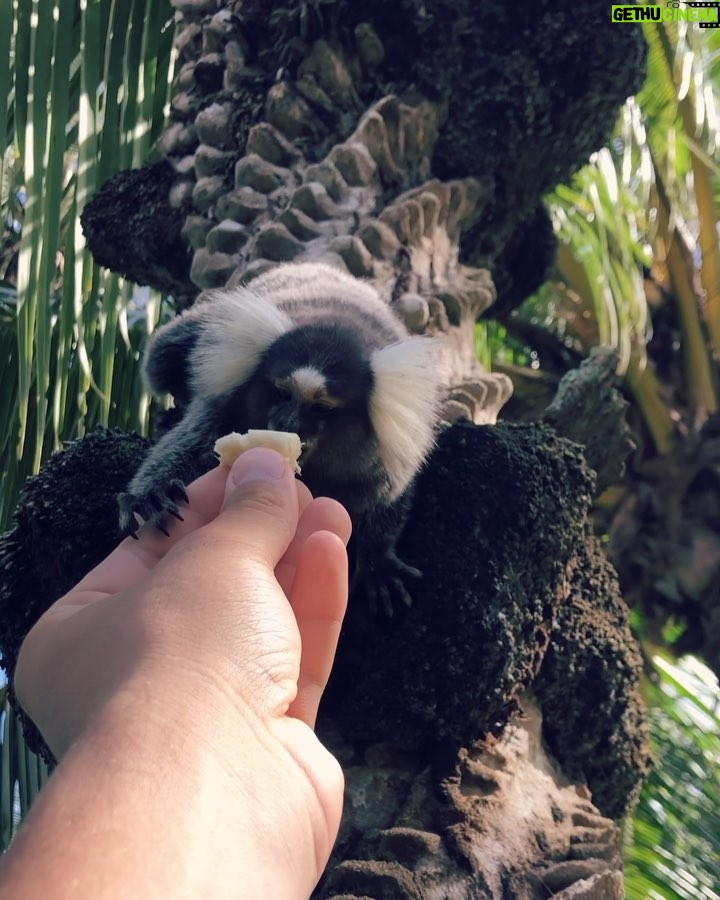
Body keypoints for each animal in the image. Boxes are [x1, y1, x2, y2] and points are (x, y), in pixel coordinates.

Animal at [118, 262, 441, 612]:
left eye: (322, 407)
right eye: (283, 393)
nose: (287, 423)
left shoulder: (388, 447)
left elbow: (389, 496)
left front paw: (377, 558)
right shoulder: (229, 399)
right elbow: (190, 444)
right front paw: (153, 494)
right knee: (164, 355)